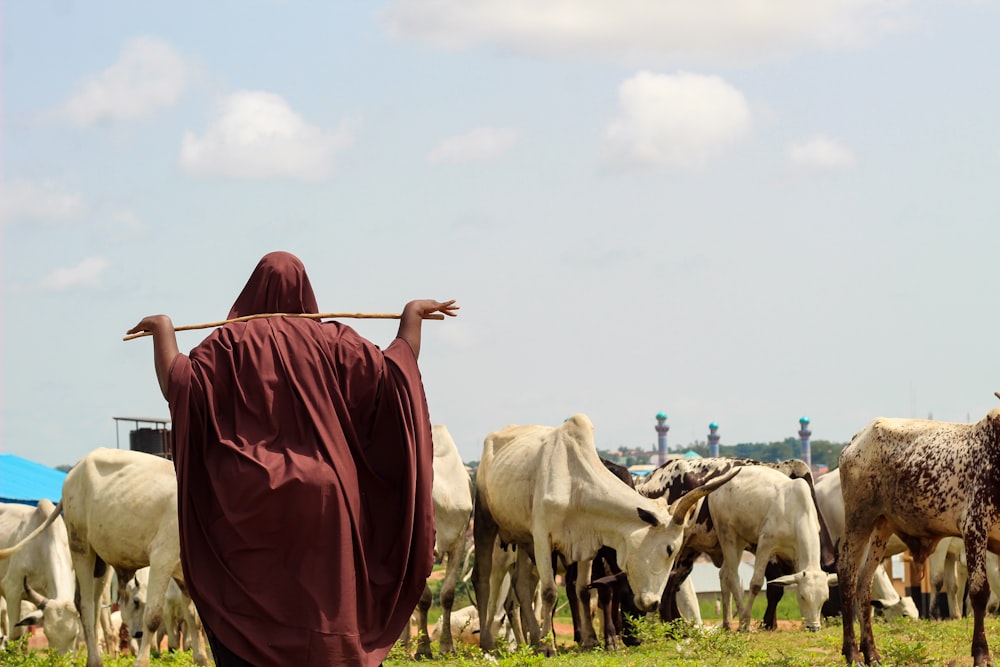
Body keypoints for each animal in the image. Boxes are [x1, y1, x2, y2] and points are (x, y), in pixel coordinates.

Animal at [472, 414, 740, 656]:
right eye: (669, 549)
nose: (652, 603)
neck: (575, 484)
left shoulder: (585, 545)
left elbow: (582, 589)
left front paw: (590, 640)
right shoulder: (542, 539)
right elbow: (550, 592)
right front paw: (550, 647)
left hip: (521, 538)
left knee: (521, 586)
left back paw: (535, 640)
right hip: (486, 522)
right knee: (482, 579)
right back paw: (489, 642)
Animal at [708, 464, 832, 632]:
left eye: (824, 599)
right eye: (803, 597)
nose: (813, 627)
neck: (797, 512)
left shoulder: (796, 555)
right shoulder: (765, 544)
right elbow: (756, 583)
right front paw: (746, 623)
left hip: (739, 541)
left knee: (724, 573)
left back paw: (727, 624)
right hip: (726, 534)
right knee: (733, 576)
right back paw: (742, 621)